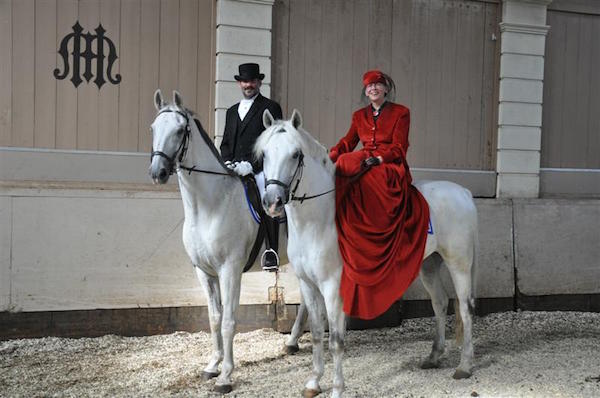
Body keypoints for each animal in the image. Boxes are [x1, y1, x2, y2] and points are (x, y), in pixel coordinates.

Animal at [148, 89, 292, 392]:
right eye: (153, 128)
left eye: (179, 130)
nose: (158, 173)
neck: (209, 205)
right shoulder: (204, 272)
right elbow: (214, 319)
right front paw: (212, 366)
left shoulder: (230, 270)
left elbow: (228, 321)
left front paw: (226, 375)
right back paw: (292, 344)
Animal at [255, 108, 480, 394]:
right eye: (264, 154)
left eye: (296, 154)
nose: (272, 202)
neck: (319, 220)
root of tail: (463, 192)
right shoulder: (308, 284)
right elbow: (316, 333)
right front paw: (314, 382)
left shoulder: (332, 286)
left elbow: (335, 339)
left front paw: (337, 388)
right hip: (429, 265)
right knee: (440, 303)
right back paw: (433, 356)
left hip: (459, 263)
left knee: (466, 307)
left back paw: (465, 366)